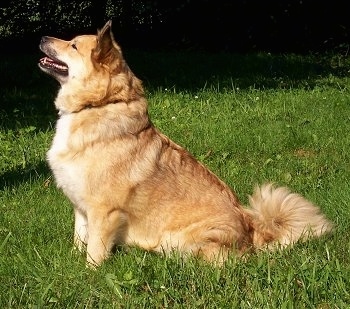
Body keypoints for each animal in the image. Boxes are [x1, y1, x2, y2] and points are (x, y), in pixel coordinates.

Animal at [39, 20, 334, 266]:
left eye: (73, 45)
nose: (42, 36)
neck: (99, 104)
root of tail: (252, 230)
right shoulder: (81, 207)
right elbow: (80, 239)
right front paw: (72, 261)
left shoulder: (104, 211)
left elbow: (95, 252)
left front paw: (90, 275)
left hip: (179, 239)